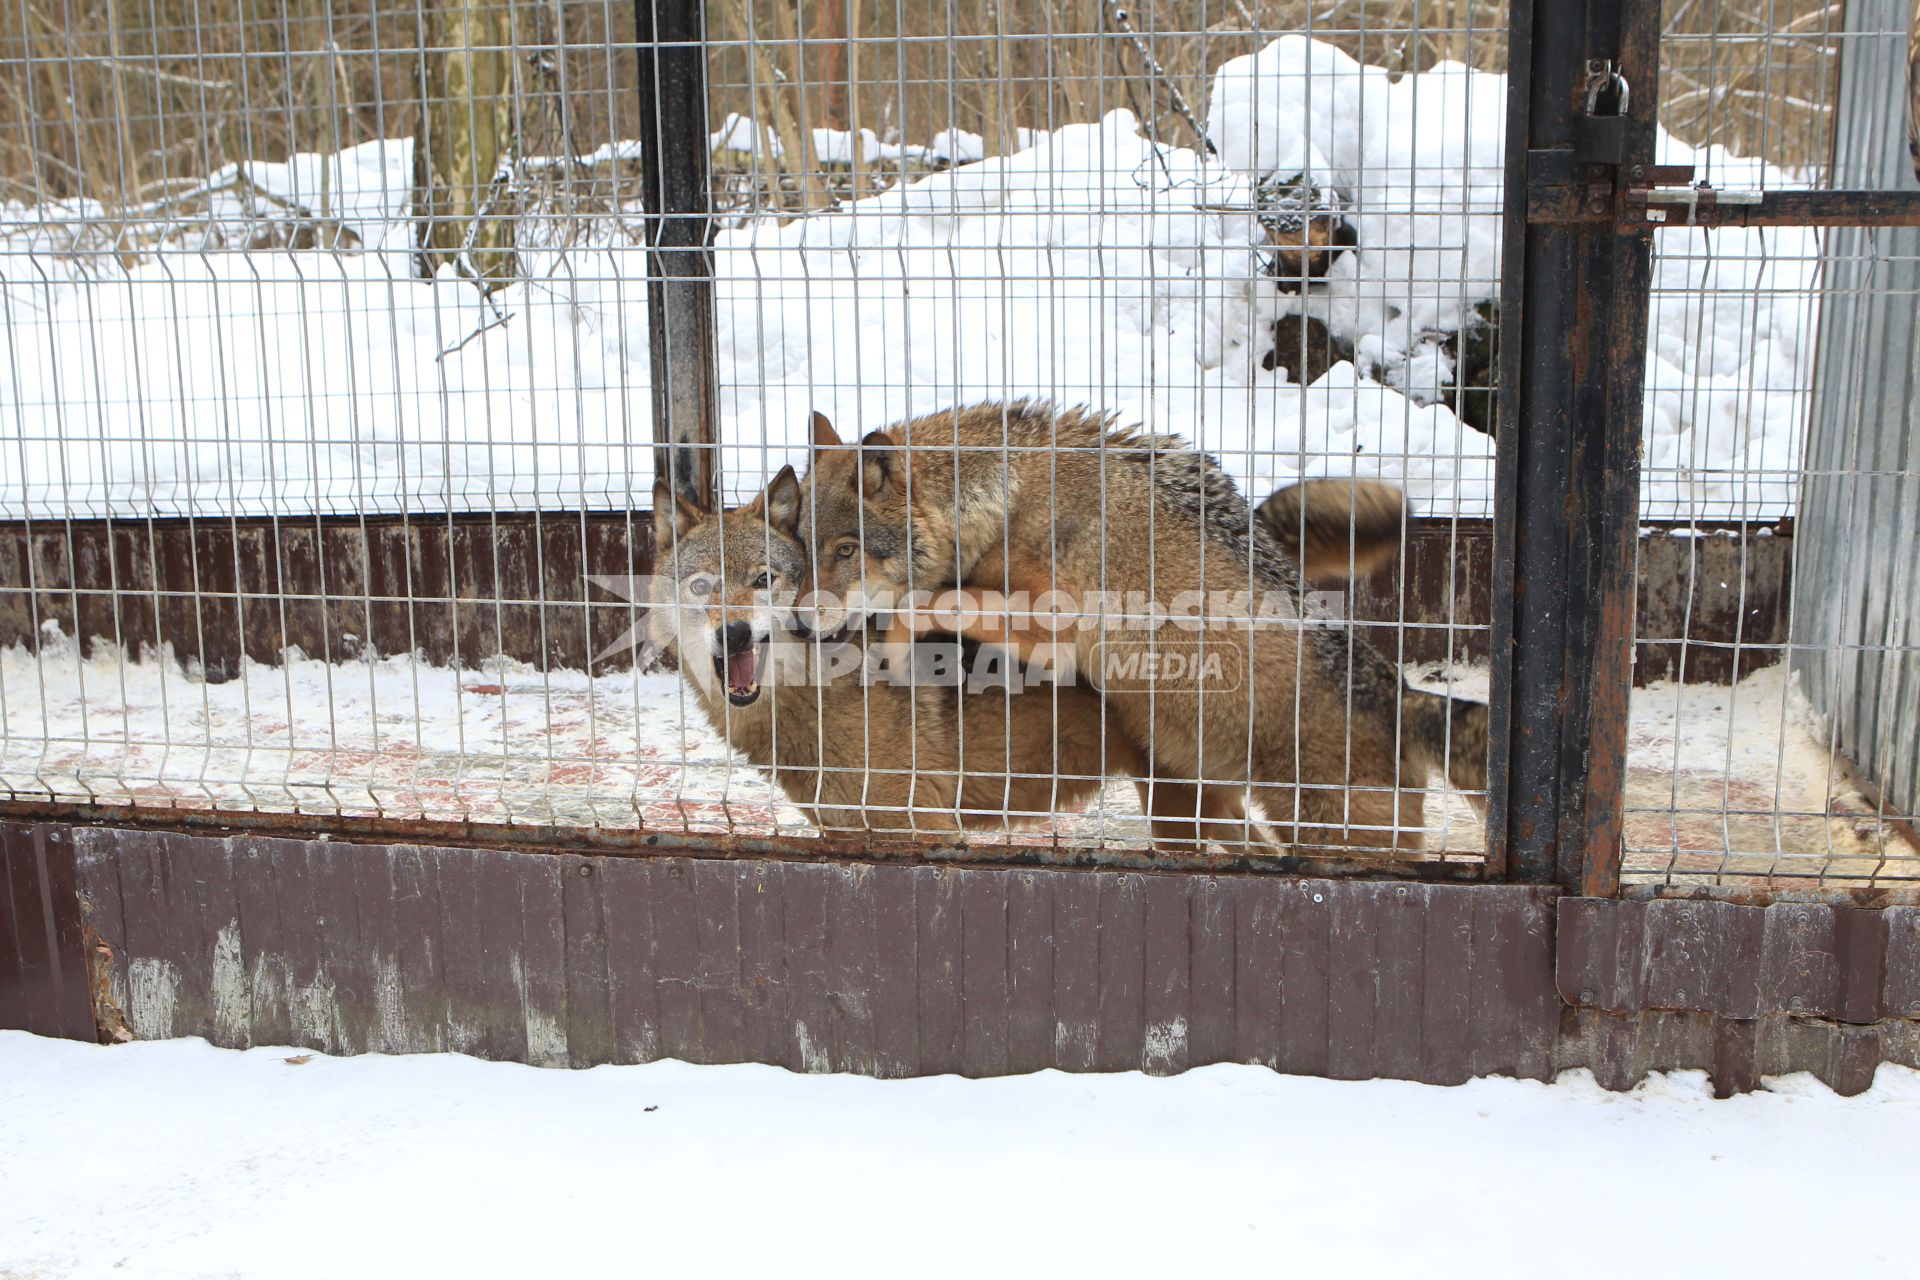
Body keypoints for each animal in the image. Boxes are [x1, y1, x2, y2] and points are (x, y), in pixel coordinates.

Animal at [791, 404, 1482, 855]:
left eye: (846, 550)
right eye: (802, 545)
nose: (796, 620)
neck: (1000, 499)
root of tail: (1402, 695)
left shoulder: (1057, 636)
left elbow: (935, 599)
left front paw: (895, 650)